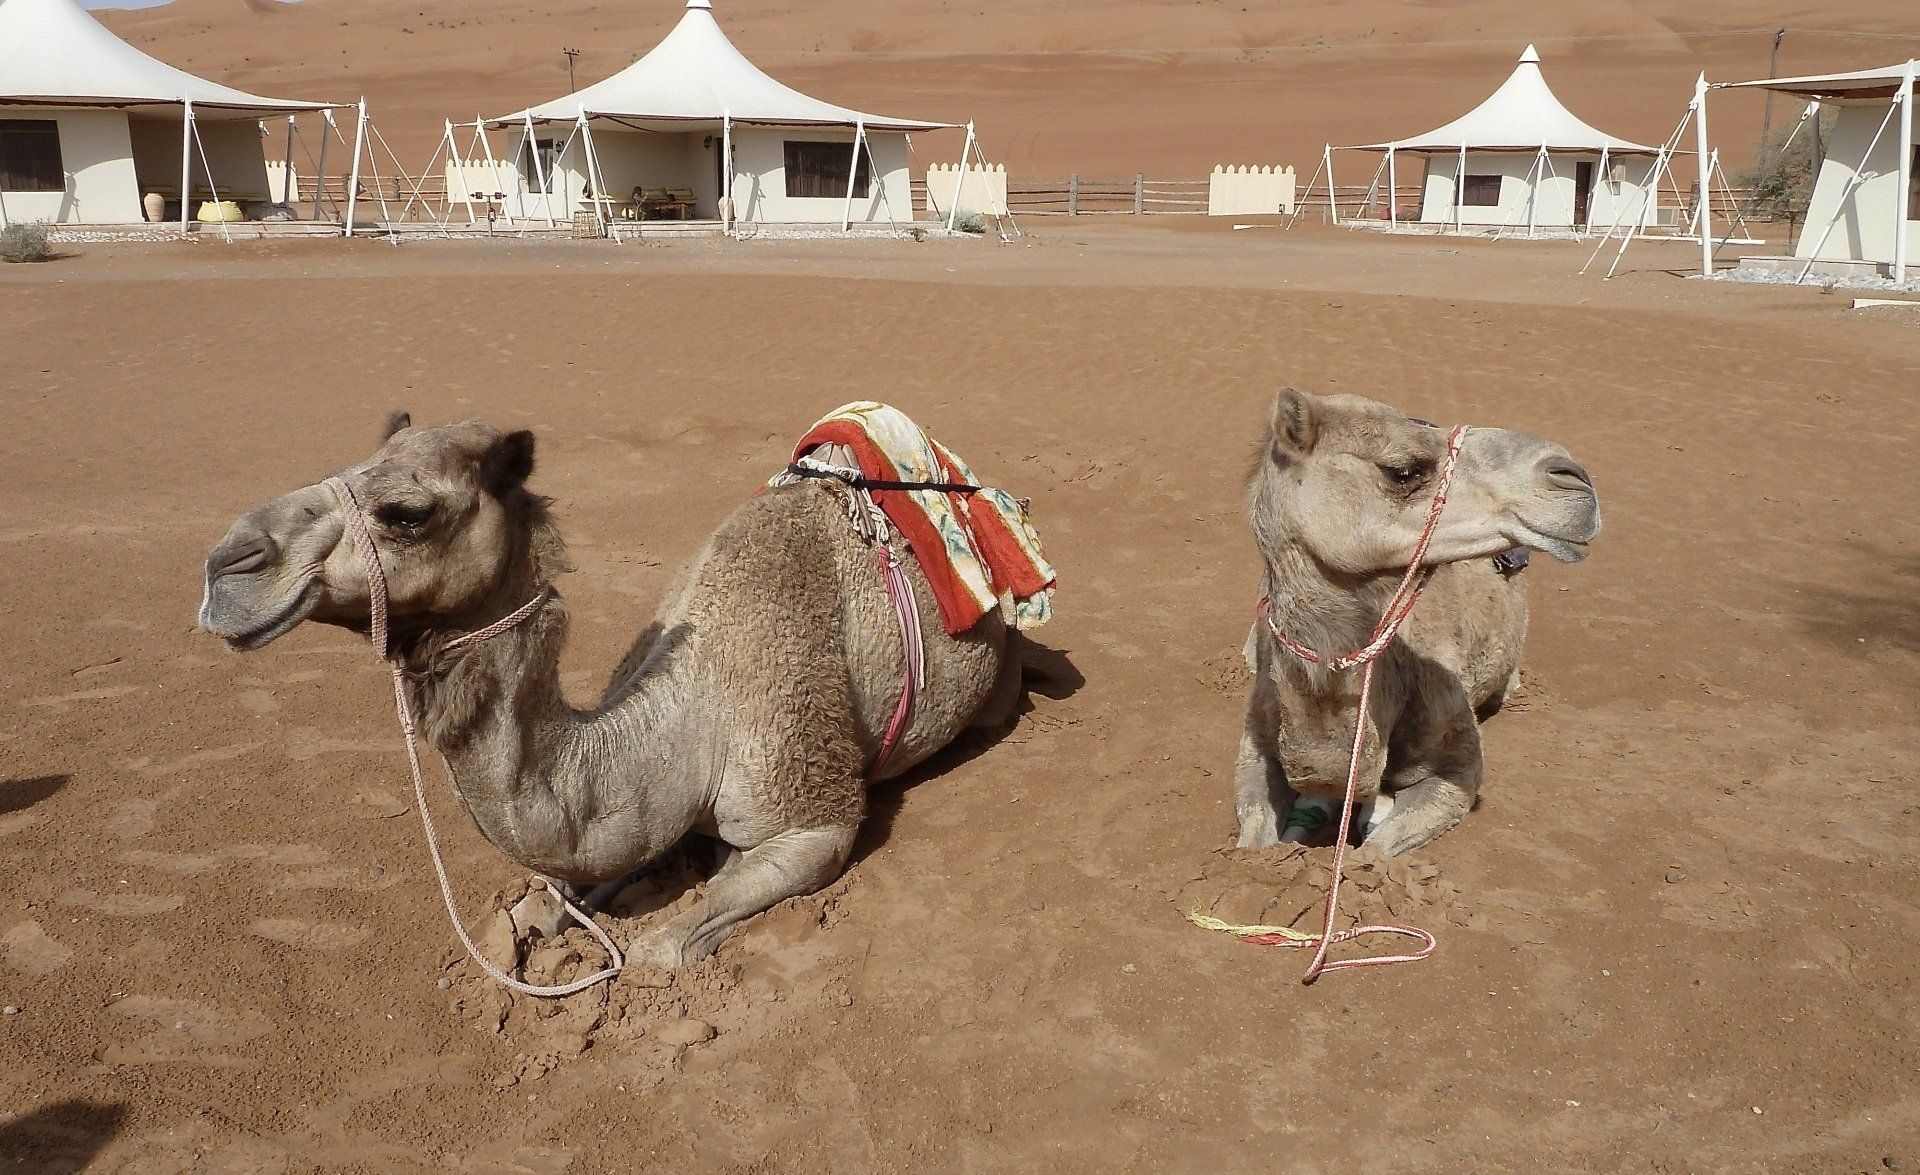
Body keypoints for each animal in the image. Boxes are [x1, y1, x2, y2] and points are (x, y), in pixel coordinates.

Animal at [198, 415, 1027, 968]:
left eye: (408, 512)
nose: (225, 564)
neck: (693, 712)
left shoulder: (813, 814)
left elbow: (669, 940)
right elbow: (552, 896)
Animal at [1235, 389, 1602, 858]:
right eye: (1403, 470)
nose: (1573, 477)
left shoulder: (1459, 762)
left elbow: (1372, 853)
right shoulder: (1255, 744)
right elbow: (1253, 839)